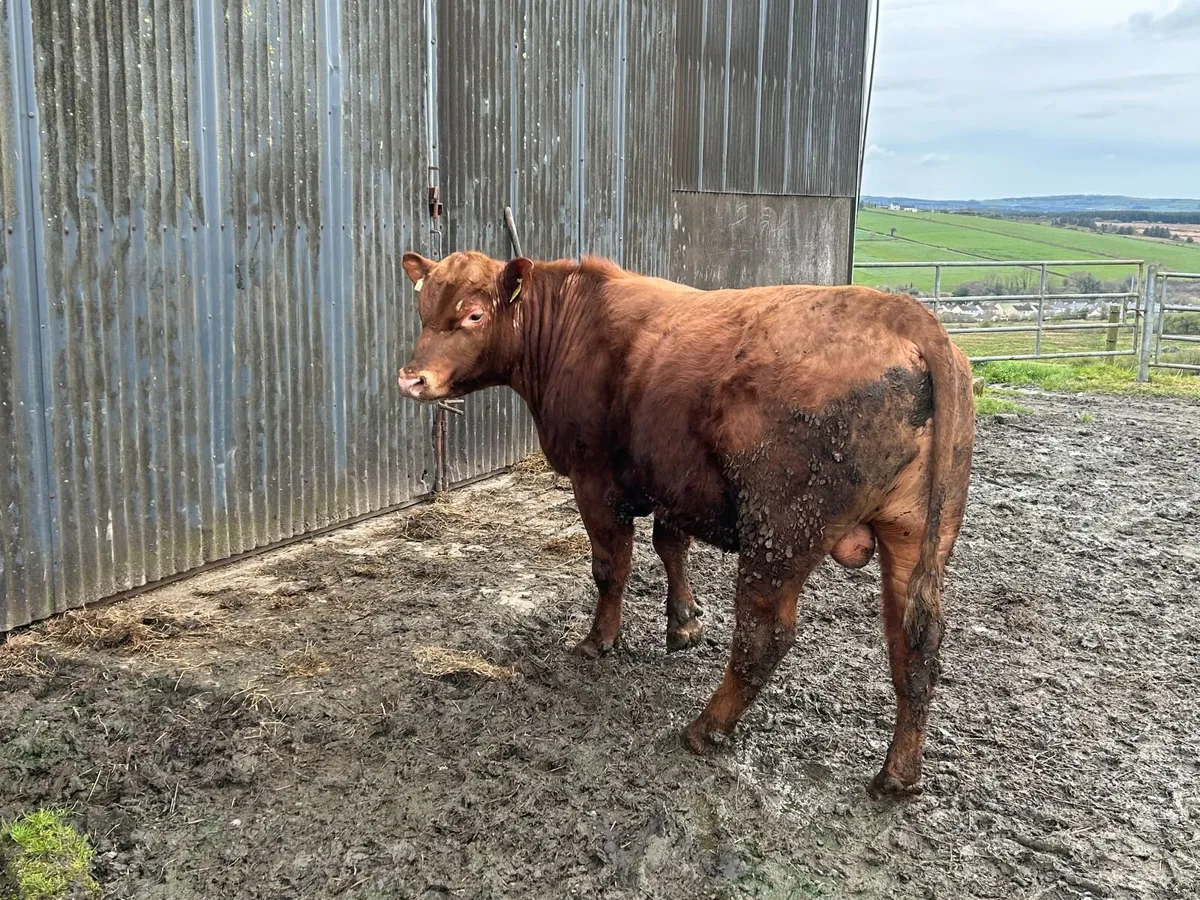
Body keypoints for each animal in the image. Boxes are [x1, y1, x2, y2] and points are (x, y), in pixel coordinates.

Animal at [397, 250, 975, 796]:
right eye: (422, 310)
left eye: (473, 314)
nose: (411, 378)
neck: (572, 325)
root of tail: (899, 312)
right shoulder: (674, 483)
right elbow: (670, 546)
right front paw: (684, 622)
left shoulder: (595, 480)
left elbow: (611, 569)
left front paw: (600, 640)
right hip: (916, 535)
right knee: (916, 643)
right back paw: (898, 774)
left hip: (780, 532)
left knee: (765, 635)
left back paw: (704, 728)